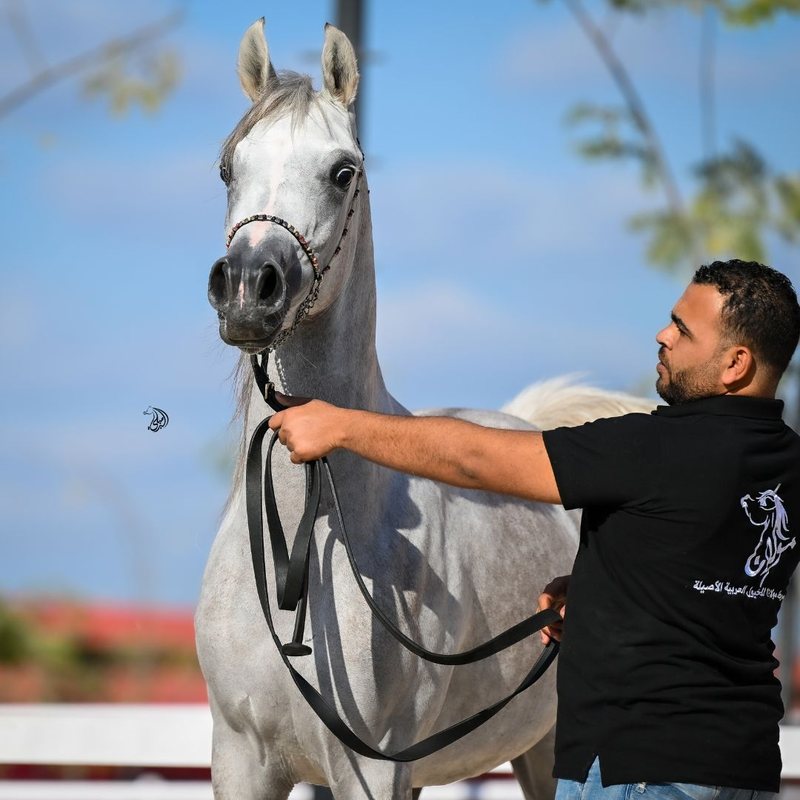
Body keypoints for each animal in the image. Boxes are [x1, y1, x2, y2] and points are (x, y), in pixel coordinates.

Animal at [195, 19, 652, 800]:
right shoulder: (241, 760)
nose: (250, 288)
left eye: (342, 171)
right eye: (229, 169)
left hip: (547, 749)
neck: (318, 525)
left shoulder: (372, 767)